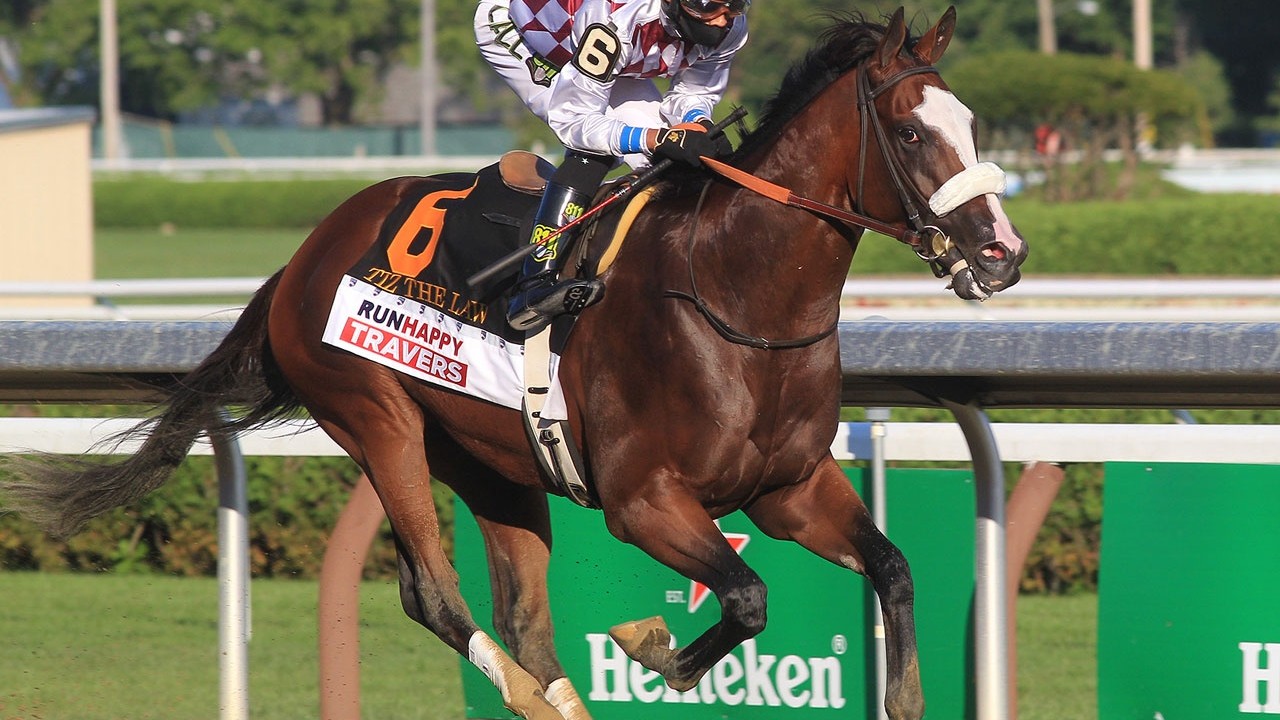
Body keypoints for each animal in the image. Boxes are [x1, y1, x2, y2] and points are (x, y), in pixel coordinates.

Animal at [0, 7, 1018, 717]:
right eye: (914, 133)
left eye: (973, 121)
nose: (1004, 255)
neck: (736, 304)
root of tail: (303, 255)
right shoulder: (645, 501)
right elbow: (748, 597)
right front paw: (653, 645)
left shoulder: (788, 488)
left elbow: (891, 568)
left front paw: (906, 697)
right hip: (378, 420)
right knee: (435, 596)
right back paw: (528, 692)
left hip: (494, 463)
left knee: (526, 621)